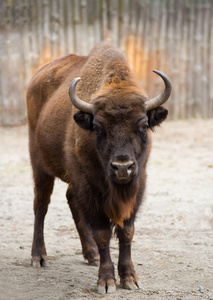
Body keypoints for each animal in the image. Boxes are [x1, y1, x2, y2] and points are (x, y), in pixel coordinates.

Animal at [26, 42, 171, 292]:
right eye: (98, 127)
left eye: (143, 125)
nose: (122, 167)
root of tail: (37, 77)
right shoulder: (90, 188)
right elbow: (103, 233)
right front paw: (106, 281)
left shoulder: (137, 186)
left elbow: (126, 232)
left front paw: (130, 278)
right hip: (40, 166)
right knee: (41, 205)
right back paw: (39, 257)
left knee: (71, 200)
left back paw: (91, 254)